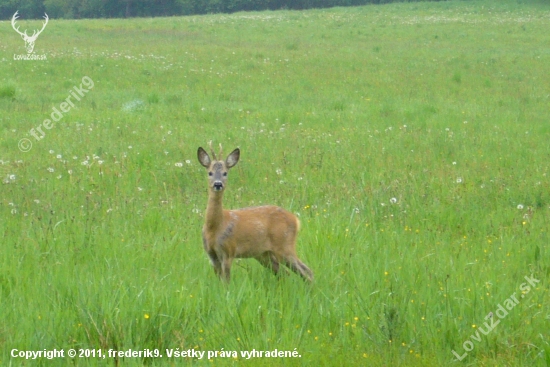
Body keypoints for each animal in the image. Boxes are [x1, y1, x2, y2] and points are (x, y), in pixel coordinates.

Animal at [198, 142, 312, 284]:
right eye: (210, 173)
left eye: (225, 173)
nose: (218, 184)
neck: (215, 227)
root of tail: (296, 220)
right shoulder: (211, 254)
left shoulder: (229, 250)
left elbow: (227, 282)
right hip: (264, 254)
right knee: (285, 273)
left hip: (285, 245)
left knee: (306, 271)